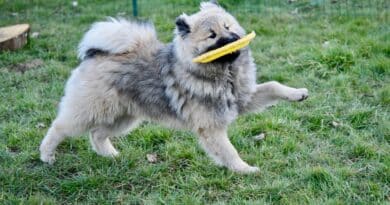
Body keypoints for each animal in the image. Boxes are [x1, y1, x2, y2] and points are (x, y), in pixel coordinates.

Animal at [39, 2, 310, 174]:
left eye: (228, 27)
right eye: (212, 36)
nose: (234, 40)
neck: (225, 74)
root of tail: (96, 53)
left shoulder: (244, 98)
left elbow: (273, 86)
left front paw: (298, 93)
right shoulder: (211, 127)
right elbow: (229, 151)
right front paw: (244, 170)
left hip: (124, 118)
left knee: (97, 134)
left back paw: (111, 156)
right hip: (89, 112)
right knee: (60, 127)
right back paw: (46, 155)